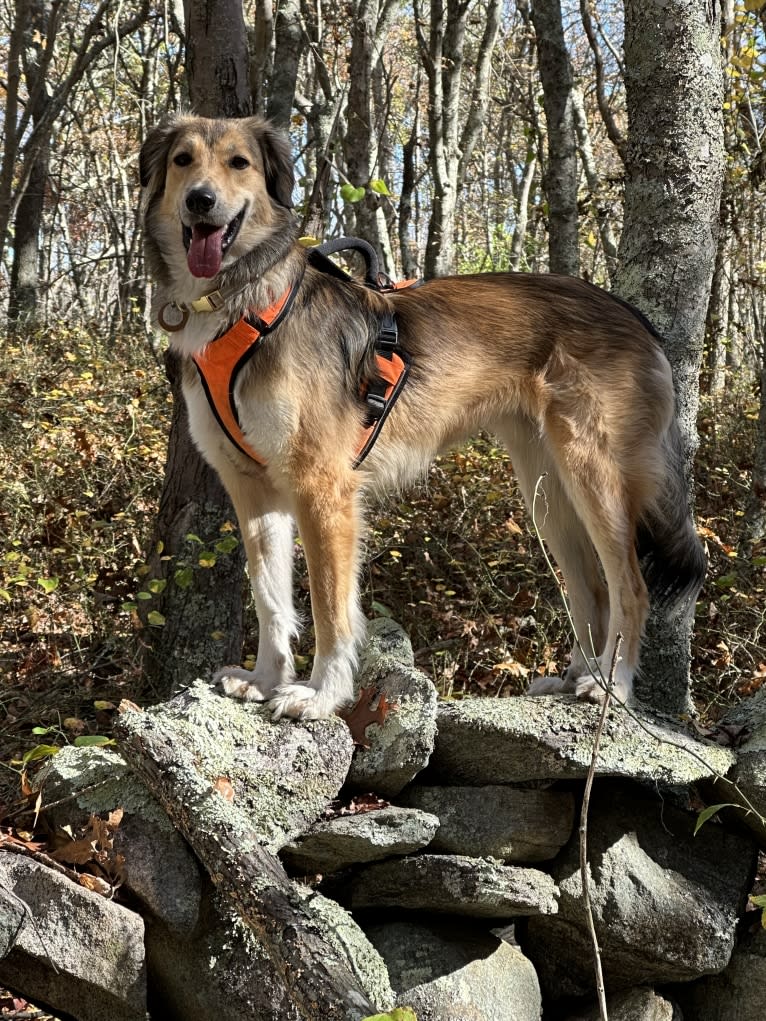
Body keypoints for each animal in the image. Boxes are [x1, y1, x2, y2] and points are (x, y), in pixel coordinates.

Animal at [140, 113, 710, 718]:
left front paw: (322, 694)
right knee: (593, 590)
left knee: (631, 587)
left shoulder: (323, 489)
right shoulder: (253, 489)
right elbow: (270, 598)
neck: (244, 303)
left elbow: (330, 609)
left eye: (238, 163)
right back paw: (579, 676)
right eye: (183, 160)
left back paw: (613, 686)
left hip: (594, 476)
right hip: (547, 491)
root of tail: (633, 314)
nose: (201, 201)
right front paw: (266, 678)